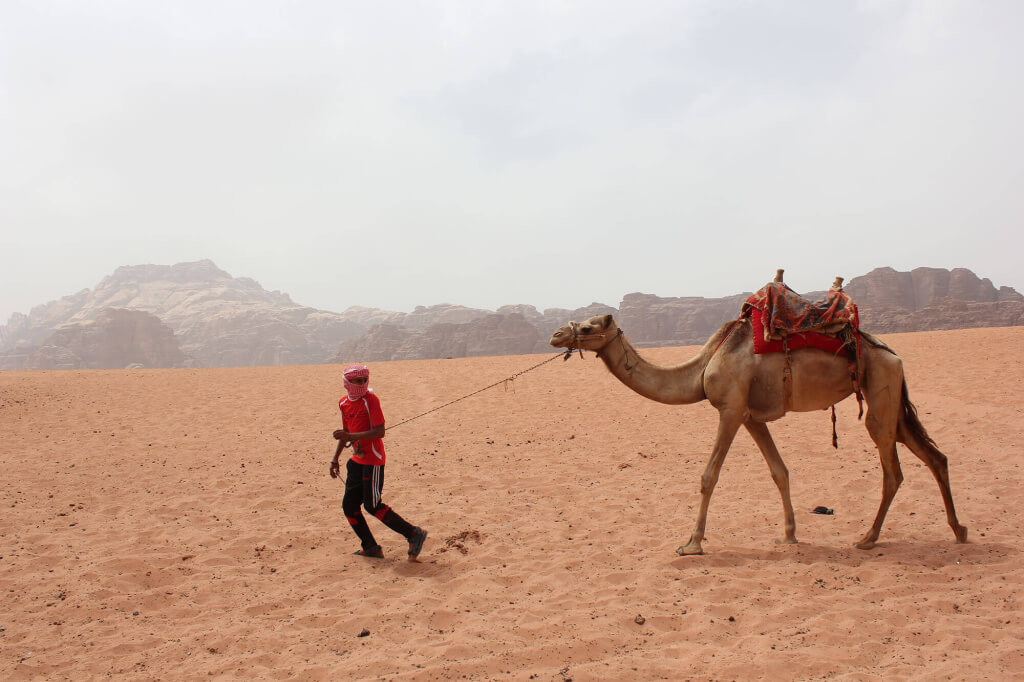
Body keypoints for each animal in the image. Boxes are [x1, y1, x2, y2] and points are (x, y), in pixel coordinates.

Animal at [549, 302, 968, 555]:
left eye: (586, 327)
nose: (555, 335)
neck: (703, 367)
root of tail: (892, 354)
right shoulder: (751, 417)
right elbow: (779, 471)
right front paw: (789, 534)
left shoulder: (731, 409)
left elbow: (708, 476)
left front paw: (692, 543)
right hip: (890, 397)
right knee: (935, 456)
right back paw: (959, 530)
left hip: (880, 394)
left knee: (893, 469)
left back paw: (868, 537)